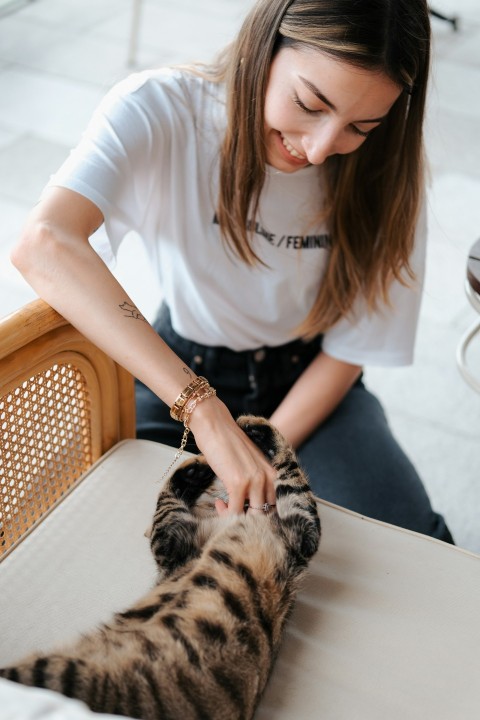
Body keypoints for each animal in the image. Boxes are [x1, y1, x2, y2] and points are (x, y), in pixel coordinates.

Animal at [1, 416, 322, 720]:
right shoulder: (177, 542)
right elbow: (169, 497)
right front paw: (206, 460)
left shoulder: (300, 533)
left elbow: (292, 474)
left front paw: (254, 429)